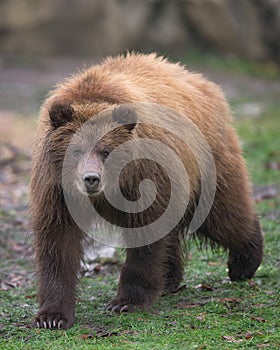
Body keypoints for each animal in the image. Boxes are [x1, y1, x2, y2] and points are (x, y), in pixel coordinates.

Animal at [29, 52, 264, 328]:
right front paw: (52, 317)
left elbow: (146, 235)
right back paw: (170, 278)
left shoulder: (145, 175)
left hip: (206, 162)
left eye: (106, 151)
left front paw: (126, 302)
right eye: (76, 150)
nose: (91, 179)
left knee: (222, 214)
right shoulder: (56, 189)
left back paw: (244, 262)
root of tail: (199, 80)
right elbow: (58, 242)